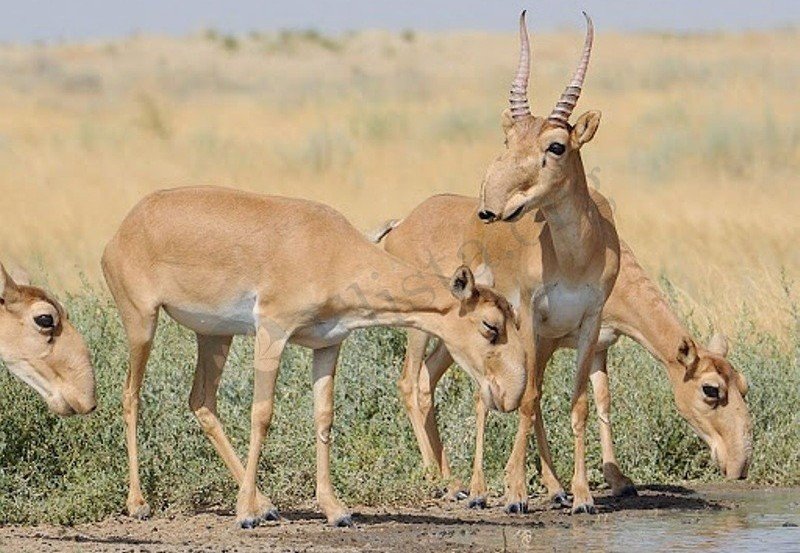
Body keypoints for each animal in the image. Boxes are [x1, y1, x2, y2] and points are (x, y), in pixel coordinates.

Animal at [103, 185, 528, 528]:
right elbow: (262, 415)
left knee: (202, 402)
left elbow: (324, 417)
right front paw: (243, 515)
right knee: (130, 397)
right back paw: (140, 504)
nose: (508, 396)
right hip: (142, 324)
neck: (329, 249)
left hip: (213, 337)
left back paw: (265, 504)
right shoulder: (272, 332)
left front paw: (335, 510)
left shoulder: (327, 346)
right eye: (490, 326)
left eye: (513, 317)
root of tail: (124, 229)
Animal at [378, 191, 752, 508]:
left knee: (427, 380)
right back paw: (441, 481)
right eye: (710, 389)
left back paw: (451, 481)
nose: (741, 465)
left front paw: (617, 479)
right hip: (421, 329)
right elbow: (533, 399)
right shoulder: (544, 341)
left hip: (453, 340)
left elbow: (601, 400)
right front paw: (547, 488)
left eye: (744, 386)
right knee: (409, 382)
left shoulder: (599, 346)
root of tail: (400, 224)